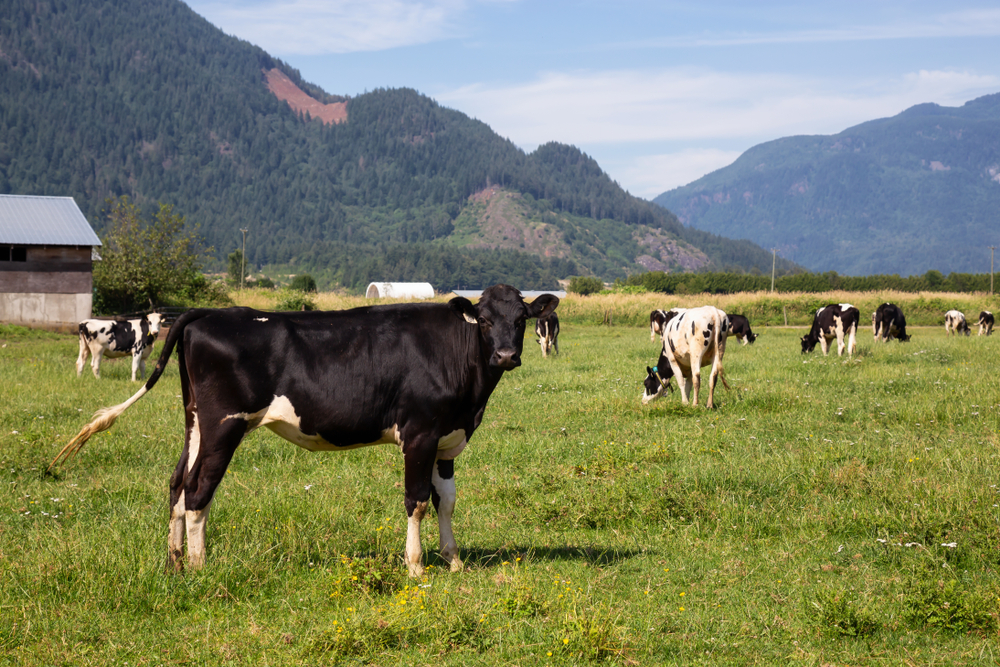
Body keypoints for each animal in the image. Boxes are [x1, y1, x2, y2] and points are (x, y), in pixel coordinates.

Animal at [50, 288, 560, 580]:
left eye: (521, 319)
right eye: (486, 320)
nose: (506, 356)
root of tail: (209, 314)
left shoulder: (448, 439)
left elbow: (446, 501)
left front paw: (453, 559)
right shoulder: (419, 434)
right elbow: (416, 501)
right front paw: (416, 567)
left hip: (195, 420)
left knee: (176, 483)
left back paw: (175, 562)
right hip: (224, 423)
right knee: (197, 490)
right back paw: (198, 566)